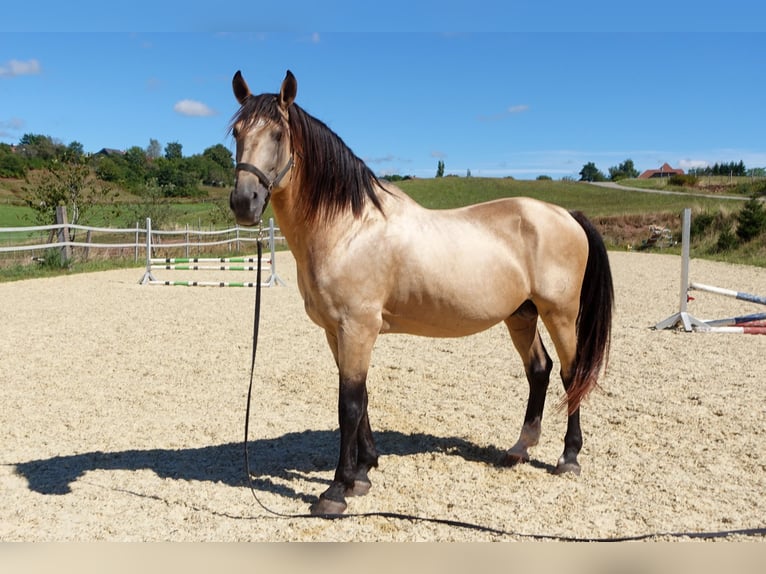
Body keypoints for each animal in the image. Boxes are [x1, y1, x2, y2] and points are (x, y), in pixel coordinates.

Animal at [231, 68, 616, 516]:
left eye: (277, 134)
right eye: (236, 132)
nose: (244, 201)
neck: (348, 228)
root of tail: (565, 215)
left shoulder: (357, 327)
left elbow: (349, 404)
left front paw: (337, 489)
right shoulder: (336, 331)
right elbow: (361, 396)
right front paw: (364, 471)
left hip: (560, 314)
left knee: (572, 374)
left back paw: (568, 457)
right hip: (521, 314)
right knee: (539, 370)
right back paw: (518, 450)